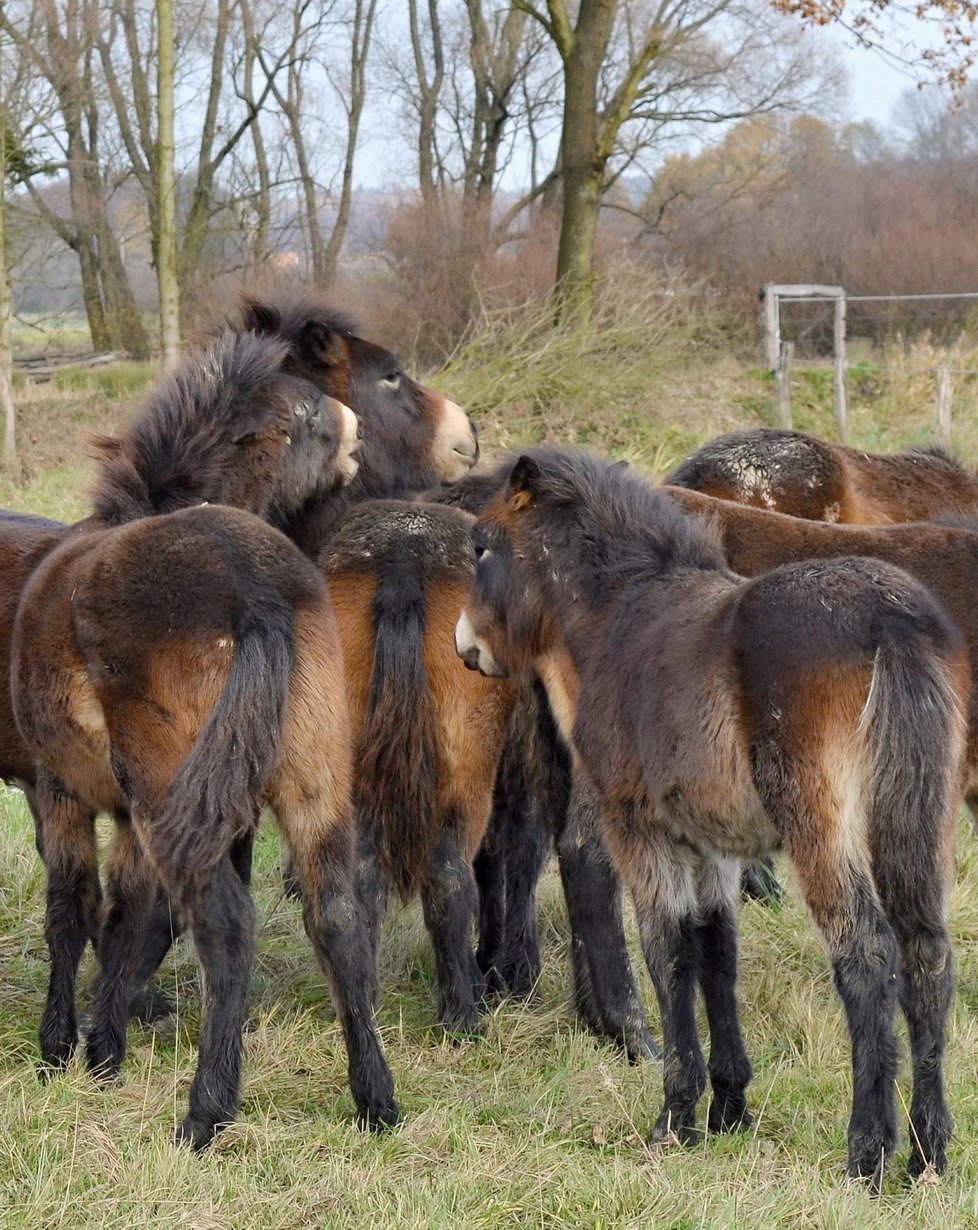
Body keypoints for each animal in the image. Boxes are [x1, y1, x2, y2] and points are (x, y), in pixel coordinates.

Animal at [12, 332, 401, 1146]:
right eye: (307, 415)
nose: (357, 432)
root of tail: (251, 589)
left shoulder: (63, 793)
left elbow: (74, 911)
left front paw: (61, 1048)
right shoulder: (149, 816)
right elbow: (126, 919)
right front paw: (104, 1049)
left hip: (174, 798)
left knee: (225, 924)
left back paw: (206, 1111)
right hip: (312, 782)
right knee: (339, 915)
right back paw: (375, 1100)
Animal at [455, 447, 969, 1185]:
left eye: (481, 545)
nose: (466, 646)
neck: (620, 617)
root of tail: (891, 621)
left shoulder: (640, 832)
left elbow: (668, 954)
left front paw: (676, 1118)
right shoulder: (712, 848)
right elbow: (717, 953)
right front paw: (729, 1108)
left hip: (822, 826)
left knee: (867, 953)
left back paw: (867, 1152)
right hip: (917, 824)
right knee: (927, 954)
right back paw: (929, 1155)